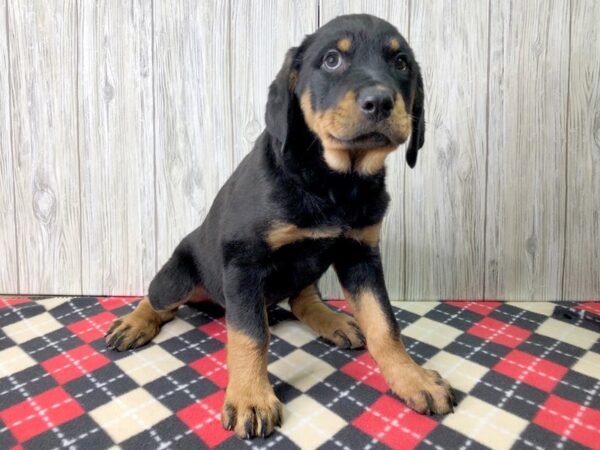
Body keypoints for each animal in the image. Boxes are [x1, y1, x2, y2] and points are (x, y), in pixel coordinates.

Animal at [105, 14, 452, 440]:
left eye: (401, 62)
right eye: (332, 60)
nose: (380, 101)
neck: (336, 181)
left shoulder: (361, 255)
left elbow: (384, 324)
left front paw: (411, 378)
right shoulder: (244, 262)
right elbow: (250, 335)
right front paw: (251, 397)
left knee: (302, 299)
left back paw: (332, 319)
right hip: (179, 275)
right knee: (159, 299)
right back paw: (136, 322)